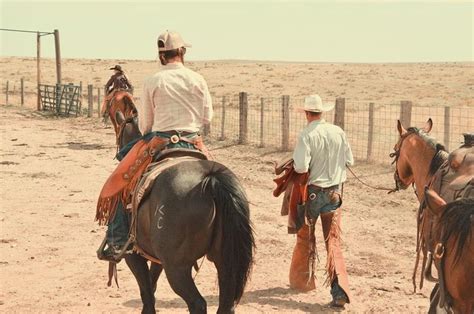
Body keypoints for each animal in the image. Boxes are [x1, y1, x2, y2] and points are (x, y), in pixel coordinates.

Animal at [112, 113, 256, 314]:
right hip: (226, 261)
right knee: (226, 304)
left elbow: (146, 292)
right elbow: (151, 285)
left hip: (177, 268)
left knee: (197, 303)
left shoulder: (132, 255)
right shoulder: (158, 258)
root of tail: (211, 179)